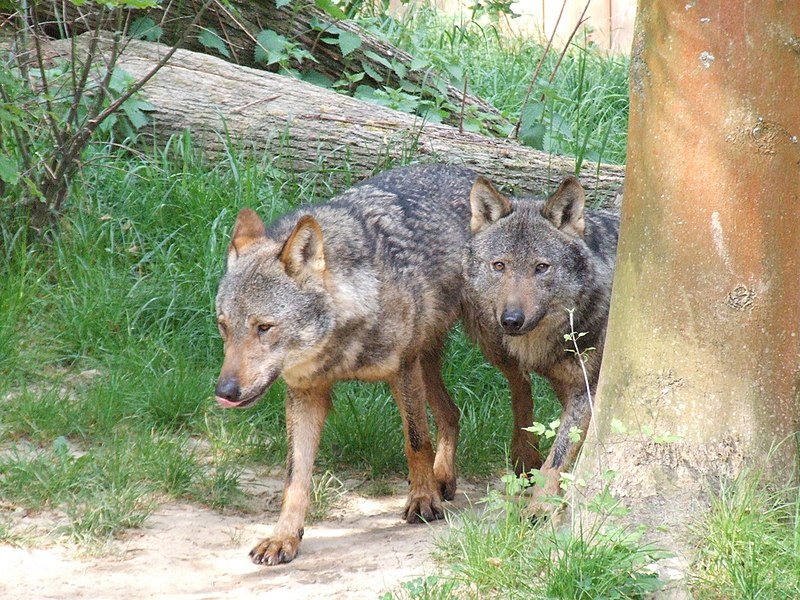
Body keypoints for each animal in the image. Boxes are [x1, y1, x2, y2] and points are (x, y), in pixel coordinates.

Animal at [214, 165, 488, 568]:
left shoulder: (402, 371)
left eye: (264, 327)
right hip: (427, 361)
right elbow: (295, 478)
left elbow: (415, 441)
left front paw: (423, 501)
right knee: (451, 413)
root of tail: (465, 169)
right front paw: (284, 537)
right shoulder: (305, 395)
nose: (225, 392)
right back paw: (444, 478)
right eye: (224, 326)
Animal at [462, 176, 620, 508]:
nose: (511, 320)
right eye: (500, 266)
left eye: (541, 267)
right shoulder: (565, 387)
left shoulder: (588, 390)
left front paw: (540, 510)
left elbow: (558, 455)